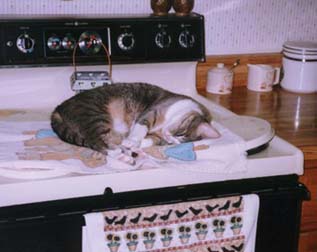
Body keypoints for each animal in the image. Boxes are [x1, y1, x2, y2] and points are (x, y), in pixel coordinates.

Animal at [51, 82, 220, 164]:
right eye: (180, 133)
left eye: (174, 143)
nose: (170, 138)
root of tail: (58, 109)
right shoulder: (151, 113)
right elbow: (141, 128)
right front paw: (132, 141)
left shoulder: (156, 136)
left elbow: (149, 140)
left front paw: (133, 145)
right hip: (95, 116)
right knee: (96, 141)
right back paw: (122, 155)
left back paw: (129, 152)